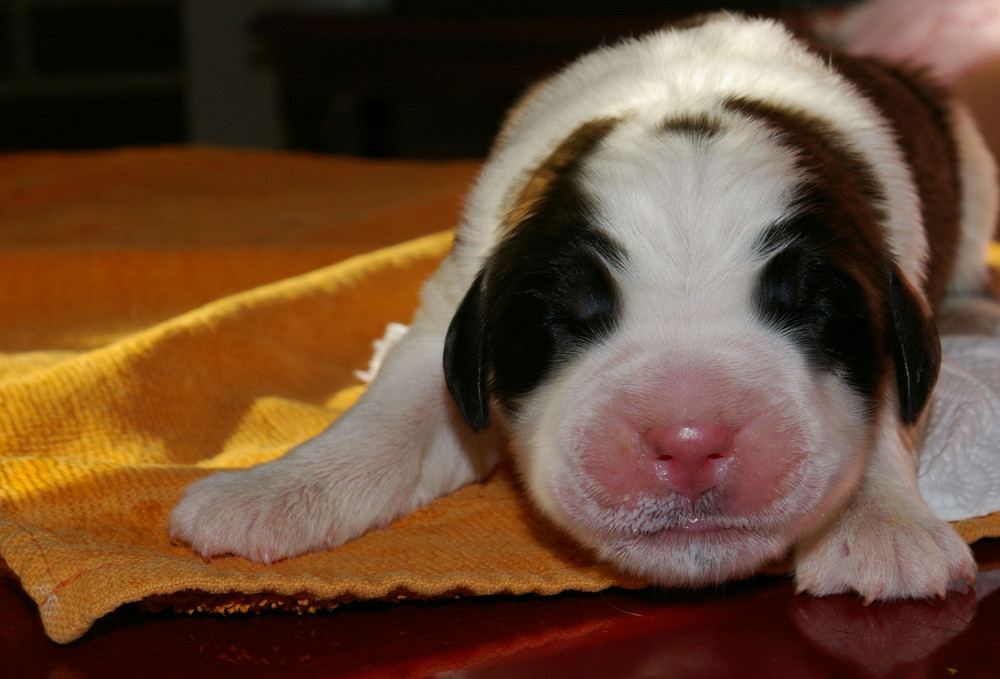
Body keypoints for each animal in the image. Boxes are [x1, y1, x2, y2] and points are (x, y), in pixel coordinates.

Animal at [168, 14, 996, 600]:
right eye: (567, 315)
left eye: (815, 311)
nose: (689, 442)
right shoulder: (458, 302)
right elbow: (394, 416)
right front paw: (275, 488)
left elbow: (884, 411)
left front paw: (880, 523)